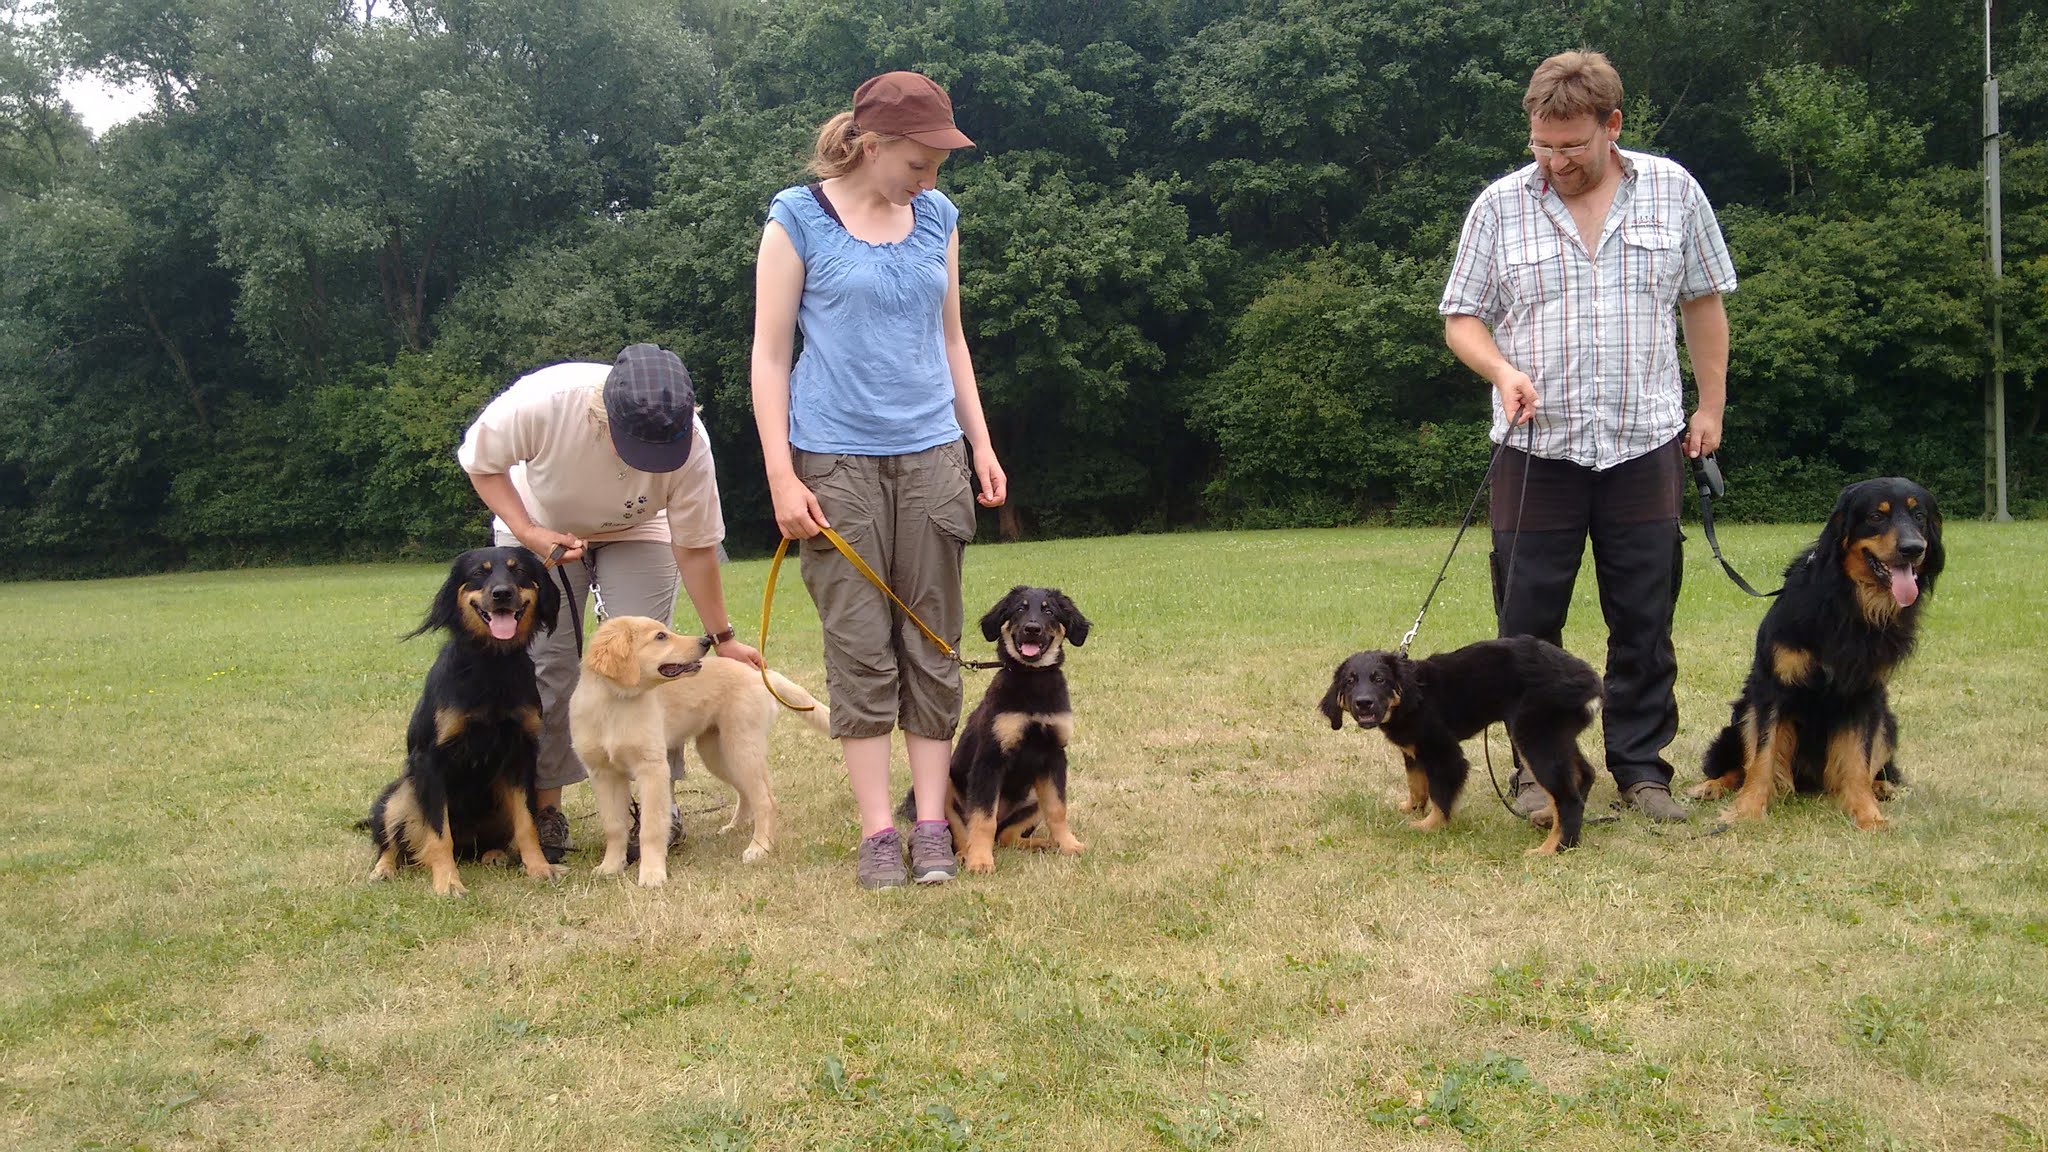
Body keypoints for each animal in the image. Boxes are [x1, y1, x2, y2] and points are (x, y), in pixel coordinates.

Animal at [366, 546, 566, 896]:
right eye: (478, 573)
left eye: (518, 571)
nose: (502, 593)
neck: (492, 664)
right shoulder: (429, 759)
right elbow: (438, 832)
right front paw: (447, 882)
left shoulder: (520, 755)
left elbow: (526, 824)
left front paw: (540, 868)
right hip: (402, 792)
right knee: (392, 842)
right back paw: (383, 869)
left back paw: (495, 854)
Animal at [569, 615, 830, 886]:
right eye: (660, 637)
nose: (706, 641)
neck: (614, 705)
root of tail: (756, 673)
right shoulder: (603, 774)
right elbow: (613, 825)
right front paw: (610, 867)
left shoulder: (652, 768)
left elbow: (651, 826)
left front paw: (652, 874)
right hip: (716, 753)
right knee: (746, 791)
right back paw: (736, 827)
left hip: (741, 746)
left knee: (766, 799)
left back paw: (759, 847)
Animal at [907, 586, 1092, 874]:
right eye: (1020, 608)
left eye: (1049, 611)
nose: (1031, 628)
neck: (1032, 680)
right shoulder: (990, 759)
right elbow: (983, 819)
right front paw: (981, 861)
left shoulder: (1054, 757)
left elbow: (1058, 809)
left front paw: (1069, 845)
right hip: (945, 786)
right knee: (967, 830)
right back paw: (966, 854)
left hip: (1033, 796)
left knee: (1006, 836)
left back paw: (1042, 843)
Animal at [1319, 636, 1602, 854]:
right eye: (1350, 681)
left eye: (1379, 680)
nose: (1363, 703)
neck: (1412, 696)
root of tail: (1590, 681)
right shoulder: (1414, 750)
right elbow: (1416, 784)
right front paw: (1411, 809)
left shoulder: (1443, 752)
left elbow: (1440, 794)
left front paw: (1429, 826)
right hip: (1557, 736)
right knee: (1584, 774)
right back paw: (1546, 816)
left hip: (1534, 736)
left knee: (1568, 797)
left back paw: (1553, 848)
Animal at [1691, 477, 1944, 829]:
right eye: (1876, 516)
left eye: (1919, 516)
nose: (1913, 548)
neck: (1848, 604)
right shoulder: (1771, 688)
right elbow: (1762, 755)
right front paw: (1748, 810)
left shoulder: (1865, 695)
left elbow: (1857, 759)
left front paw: (1867, 814)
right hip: (1739, 714)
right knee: (1737, 765)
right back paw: (1712, 786)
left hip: (1887, 721)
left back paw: (1882, 787)